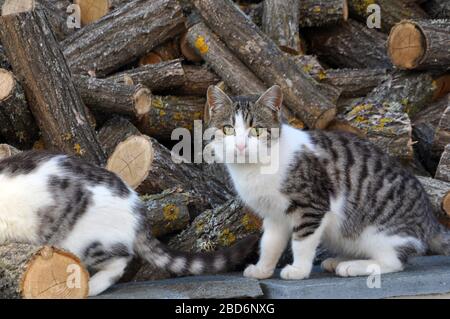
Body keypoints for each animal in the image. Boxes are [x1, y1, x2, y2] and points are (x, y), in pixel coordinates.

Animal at [205, 85, 450, 282]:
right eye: (228, 129)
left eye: (256, 130)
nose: (240, 145)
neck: (254, 168)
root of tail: (429, 219)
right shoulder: (274, 215)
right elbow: (269, 243)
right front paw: (262, 269)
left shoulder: (312, 205)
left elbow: (302, 241)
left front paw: (299, 270)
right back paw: (338, 260)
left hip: (380, 231)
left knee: (395, 261)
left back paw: (352, 266)